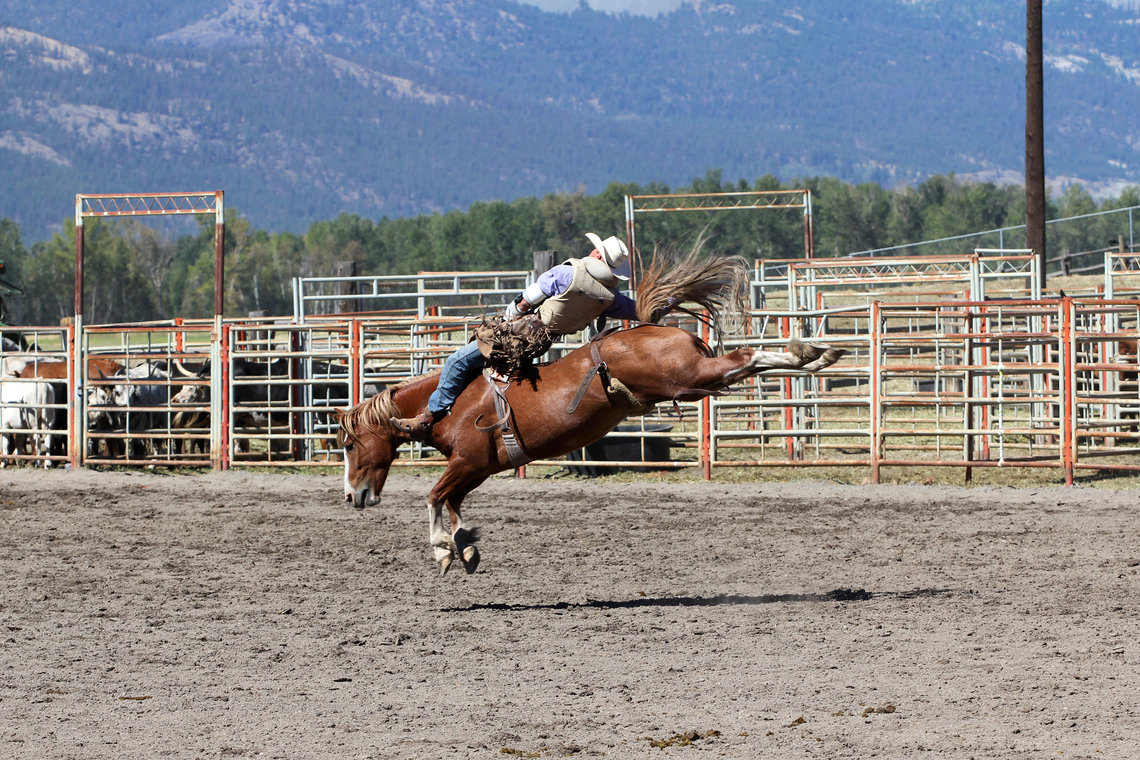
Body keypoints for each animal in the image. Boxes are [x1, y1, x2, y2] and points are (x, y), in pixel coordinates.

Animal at [337, 251, 846, 576]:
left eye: (349, 444)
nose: (351, 497)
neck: (453, 404)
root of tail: (659, 328)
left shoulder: (467, 462)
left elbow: (433, 497)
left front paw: (444, 552)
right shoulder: (476, 469)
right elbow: (453, 503)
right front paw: (464, 548)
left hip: (689, 376)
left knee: (743, 359)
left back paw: (809, 352)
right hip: (693, 382)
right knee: (741, 364)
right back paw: (815, 354)